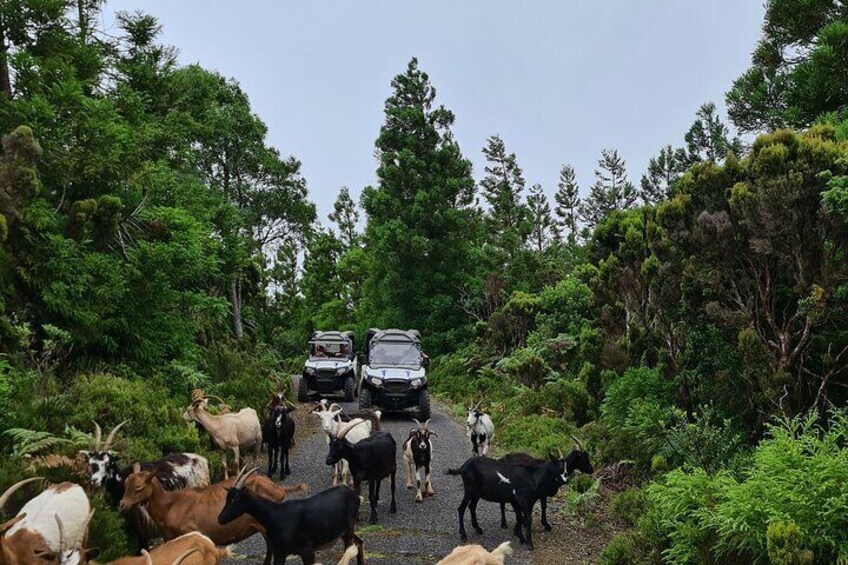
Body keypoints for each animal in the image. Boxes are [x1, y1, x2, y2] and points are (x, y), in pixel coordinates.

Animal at [81, 418, 210, 548]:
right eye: (91, 464)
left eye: (108, 464)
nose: (94, 480)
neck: (122, 480)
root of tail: (201, 460)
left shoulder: (143, 517)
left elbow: (143, 541)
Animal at [119, 462, 304, 564]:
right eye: (126, 483)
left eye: (138, 487)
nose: (122, 504)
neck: (169, 505)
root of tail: (278, 488)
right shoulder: (168, 538)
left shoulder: (189, 532)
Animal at [217, 468, 362, 564]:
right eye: (227, 498)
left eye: (234, 500)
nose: (220, 518)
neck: (276, 516)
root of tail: (355, 495)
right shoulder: (279, 552)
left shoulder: (306, 550)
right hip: (343, 531)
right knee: (359, 542)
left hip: (349, 526)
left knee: (352, 546)